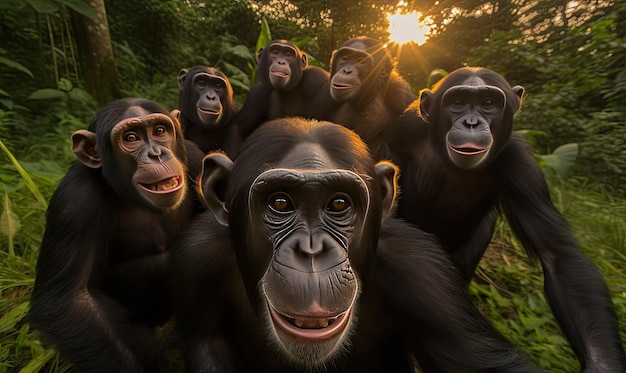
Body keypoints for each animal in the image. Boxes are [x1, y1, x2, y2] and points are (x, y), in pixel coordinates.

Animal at [28, 97, 204, 370]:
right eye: (131, 138)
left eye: (160, 131)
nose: (156, 154)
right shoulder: (74, 201)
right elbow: (68, 299)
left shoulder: (196, 158)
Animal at [168, 116, 540, 372]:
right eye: (280, 203)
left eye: (338, 204)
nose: (312, 250)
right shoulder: (196, 256)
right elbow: (205, 340)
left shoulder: (426, 276)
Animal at [386, 67, 624, 372]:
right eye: (458, 102)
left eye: (488, 103)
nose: (472, 122)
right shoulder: (405, 128)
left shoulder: (521, 164)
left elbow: (557, 256)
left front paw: (603, 364)